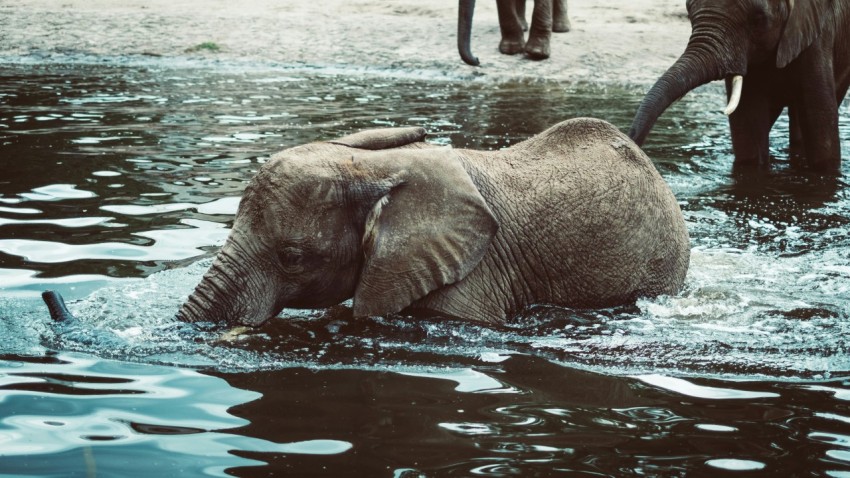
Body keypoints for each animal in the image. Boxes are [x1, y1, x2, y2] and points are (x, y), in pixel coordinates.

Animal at [629, 0, 850, 173]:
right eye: (689, 12)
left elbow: (820, 126)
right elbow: (748, 125)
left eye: (758, 18)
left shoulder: (816, 37)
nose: (633, 140)